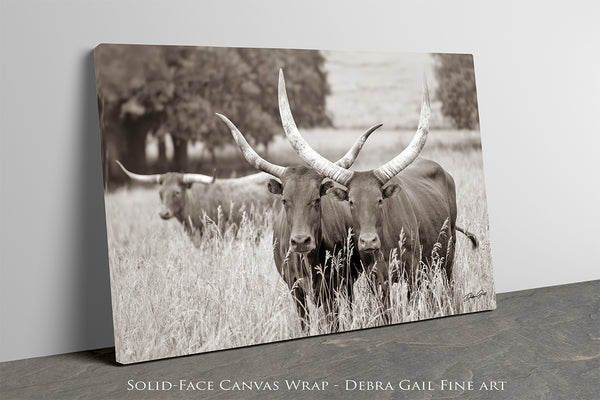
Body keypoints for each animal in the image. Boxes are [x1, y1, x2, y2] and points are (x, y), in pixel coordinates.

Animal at [218, 111, 382, 330]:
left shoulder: (332, 287)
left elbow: (333, 321)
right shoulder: (295, 289)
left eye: (316, 199)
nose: (301, 241)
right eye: (285, 200)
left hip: (347, 283)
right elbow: (304, 324)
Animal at [278, 69, 480, 318]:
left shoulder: (412, 272)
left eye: (380, 200)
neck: (385, 242)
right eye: (351, 201)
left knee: (448, 285)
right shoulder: (376, 278)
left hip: (447, 254)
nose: (367, 241)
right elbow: (385, 310)